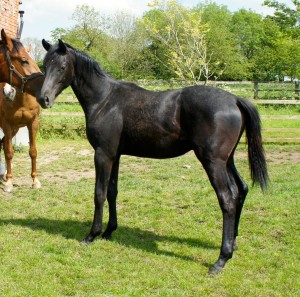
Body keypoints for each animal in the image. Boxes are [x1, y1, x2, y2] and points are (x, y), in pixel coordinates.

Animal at [0, 30, 44, 191]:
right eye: (23, 60)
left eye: (30, 59)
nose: (8, 93)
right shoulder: (6, 124)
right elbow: (9, 152)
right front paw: (9, 182)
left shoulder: (33, 123)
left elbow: (33, 151)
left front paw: (35, 180)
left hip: (15, 129)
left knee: (2, 143)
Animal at [38, 39, 268, 272]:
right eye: (44, 66)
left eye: (62, 67)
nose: (43, 99)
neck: (105, 100)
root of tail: (235, 99)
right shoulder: (115, 156)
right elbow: (112, 192)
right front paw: (109, 231)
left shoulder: (103, 154)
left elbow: (99, 193)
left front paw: (92, 234)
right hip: (227, 161)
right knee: (241, 189)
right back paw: (233, 243)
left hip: (213, 162)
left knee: (227, 199)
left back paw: (222, 258)